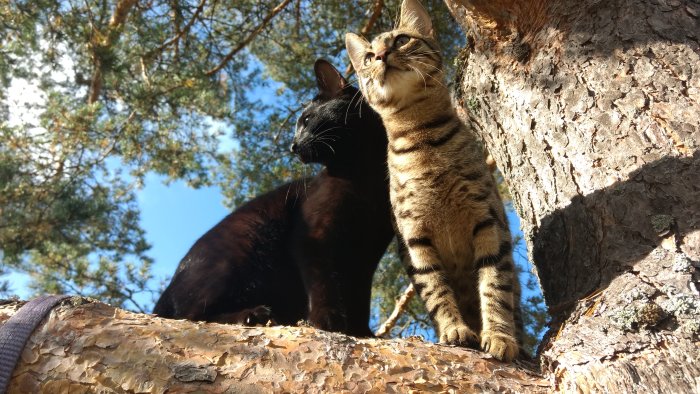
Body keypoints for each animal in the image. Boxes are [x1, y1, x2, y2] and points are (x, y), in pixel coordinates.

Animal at [154, 58, 394, 336]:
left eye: (307, 119)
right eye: (299, 124)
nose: (292, 146)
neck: (365, 176)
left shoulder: (365, 254)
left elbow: (359, 298)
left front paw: (362, 332)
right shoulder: (313, 238)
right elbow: (323, 285)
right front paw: (328, 322)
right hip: (238, 251)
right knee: (191, 318)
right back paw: (253, 315)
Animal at [344, 0, 520, 360]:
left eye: (401, 40)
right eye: (367, 57)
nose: (380, 55)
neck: (422, 138)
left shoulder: (488, 219)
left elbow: (495, 284)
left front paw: (499, 335)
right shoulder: (414, 236)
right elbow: (436, 288)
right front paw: (454, 328)